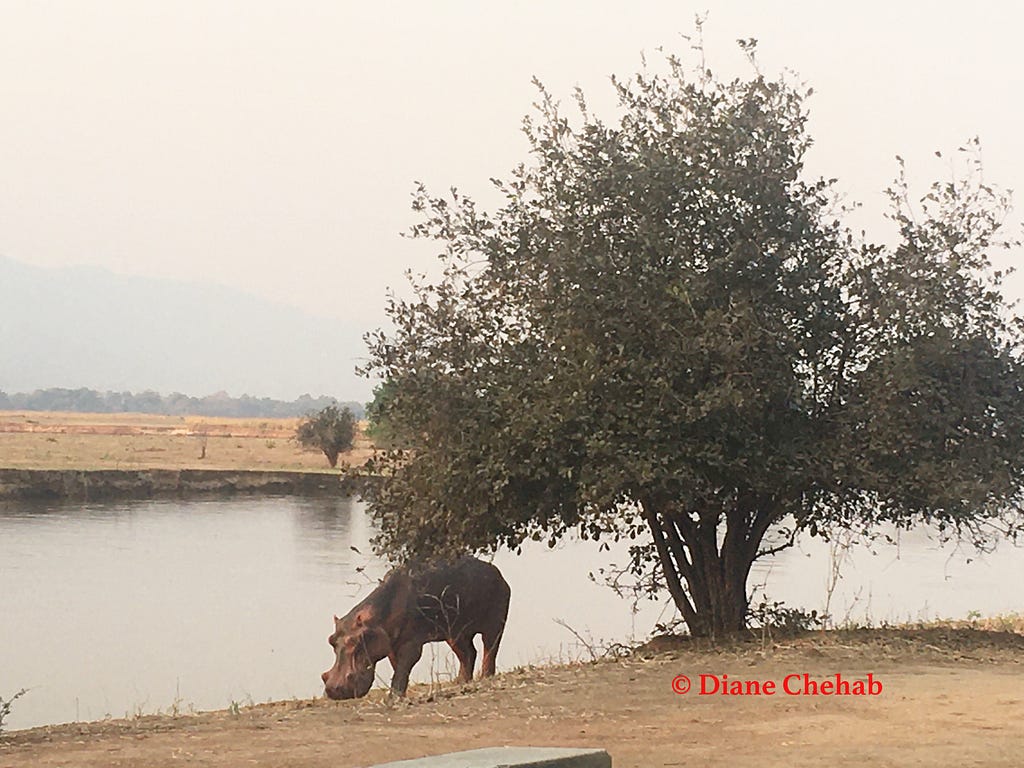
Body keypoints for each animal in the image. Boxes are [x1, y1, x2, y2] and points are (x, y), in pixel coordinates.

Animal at [321, 557, 509, 700]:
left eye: (356, 641)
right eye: (331, 640)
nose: (333, 690)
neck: (377, 618)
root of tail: (498, 573)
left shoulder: (411, 643)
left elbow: (404, 666)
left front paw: (393, 698)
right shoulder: (391, 644)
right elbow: (398, 667)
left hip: (494, 624)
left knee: (490, 649)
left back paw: (485, 678)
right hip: (455, 633)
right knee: (468, 653)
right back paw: (460, 682)